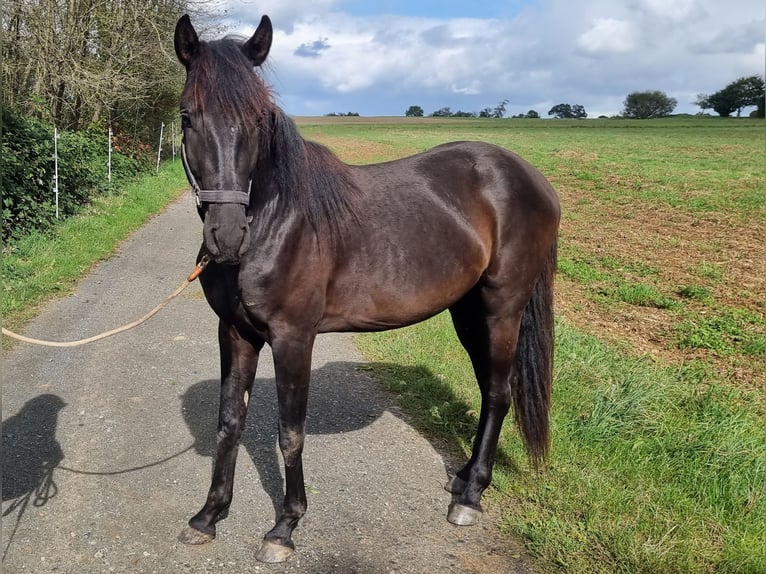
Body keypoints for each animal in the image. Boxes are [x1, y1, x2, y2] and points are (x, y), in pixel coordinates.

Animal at [172, 14, 560, 568]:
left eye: (260, 118)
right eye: (187, 116)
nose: (226, 236)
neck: (276, 219)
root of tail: (531, 178)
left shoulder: (293, 338)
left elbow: (290, 433)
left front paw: (284, 528)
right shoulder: (236, 332)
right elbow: (229, 421)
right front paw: (208, 516)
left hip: (502, 308)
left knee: (500, 394)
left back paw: (469, 498)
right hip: (468, 312)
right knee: (490, 389)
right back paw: (463, 480)